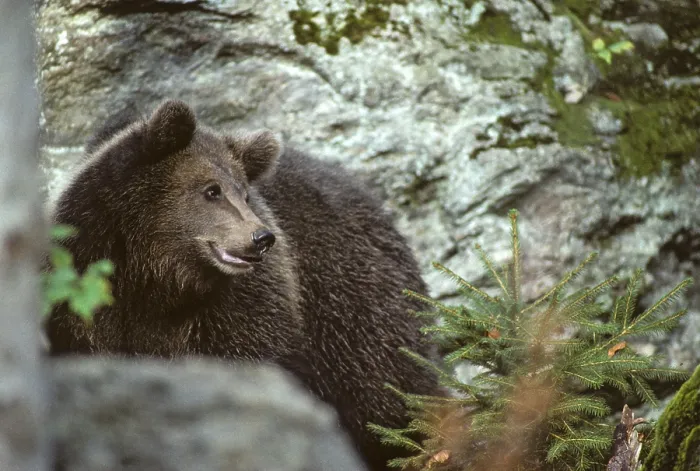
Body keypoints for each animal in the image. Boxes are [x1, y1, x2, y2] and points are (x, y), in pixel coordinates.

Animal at [45, 99, 442, 471]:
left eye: (245, 194)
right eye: (211, 190)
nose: (261, 238)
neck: (159, 280)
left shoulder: (241, 311)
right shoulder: (87, 298)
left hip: (353, 316)